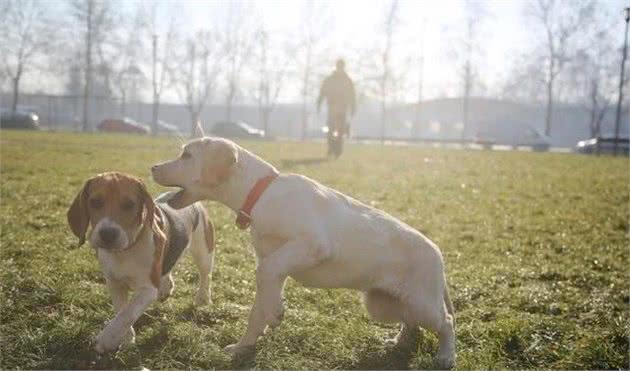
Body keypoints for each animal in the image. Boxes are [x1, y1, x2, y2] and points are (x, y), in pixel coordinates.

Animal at [153, 137, 460, 370]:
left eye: (187, 155)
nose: (153, 167)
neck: (262, 194)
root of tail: (438, 255)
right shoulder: (274, 266)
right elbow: (257, 308)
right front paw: (243, 346)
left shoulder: (311, 245)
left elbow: (265, 280)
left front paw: (276, 313)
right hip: (381, 304)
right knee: (411, 324)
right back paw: (397, 343)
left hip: (422, 304)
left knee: (446, 322)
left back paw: (445, 356)